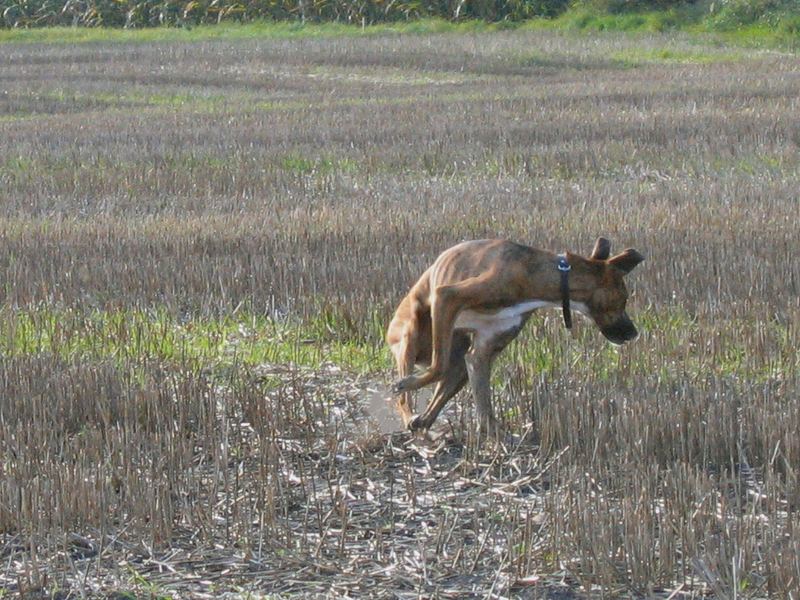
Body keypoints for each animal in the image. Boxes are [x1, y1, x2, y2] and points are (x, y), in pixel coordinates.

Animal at [386, 237, 644, 438]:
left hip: (458, 360)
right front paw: (406, 383)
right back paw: (410, 412)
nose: (634, 333)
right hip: (410, 334)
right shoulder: (447, 297)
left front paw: (495, 435)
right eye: (623, 299)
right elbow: (438, 367)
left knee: (441, 395)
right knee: (405, 396)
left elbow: (483, 399)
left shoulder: (482, 351)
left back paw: (423, 422)